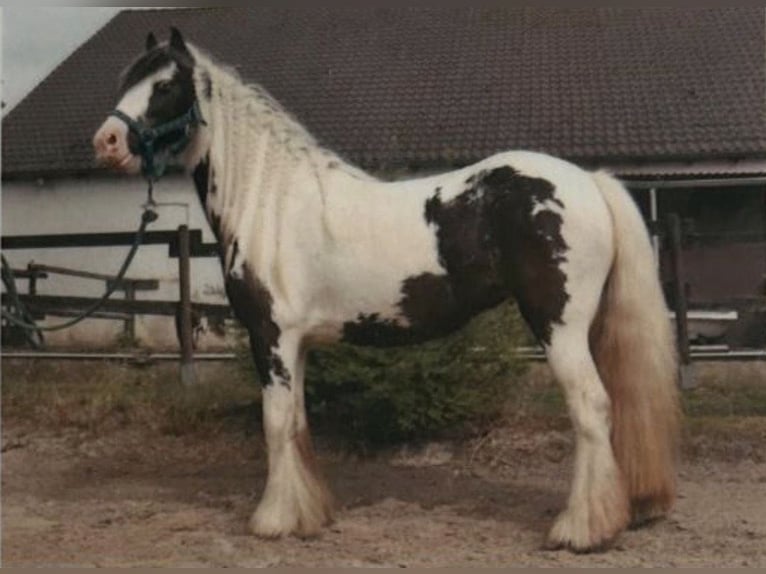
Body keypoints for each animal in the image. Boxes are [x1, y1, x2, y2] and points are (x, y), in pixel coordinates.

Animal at [93, 28, 680, 552]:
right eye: (127, 80)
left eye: (166, 85)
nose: (106, 143)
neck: (270, 202)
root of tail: (588, 182)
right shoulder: (296, 344)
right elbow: (298, 422)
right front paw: (310, 514)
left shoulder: (271, 337)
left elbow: (275, 423)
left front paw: (274, 521)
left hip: (558, 326)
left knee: (591, 407)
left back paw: (581, 531)